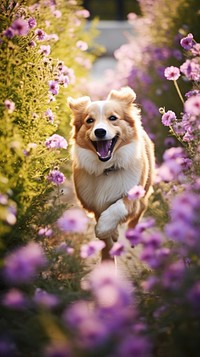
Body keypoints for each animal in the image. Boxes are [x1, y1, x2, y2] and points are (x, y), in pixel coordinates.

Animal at [67, 86, 155, 258]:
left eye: (113, 118)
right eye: (89, 120)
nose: (100, 131)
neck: (107, 168)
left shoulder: (132, 196)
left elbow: (118, 207)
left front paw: (102, 227)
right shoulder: (95, 204)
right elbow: (106, 237)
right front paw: (109, 239)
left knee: (141, 209)